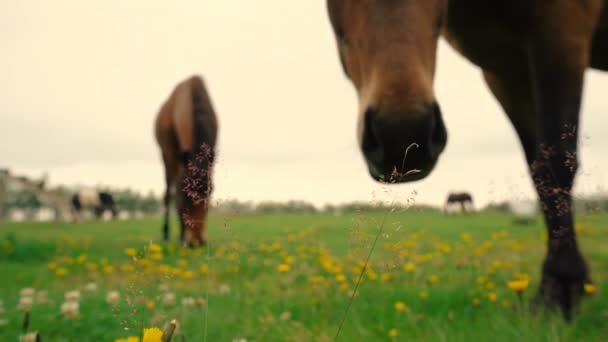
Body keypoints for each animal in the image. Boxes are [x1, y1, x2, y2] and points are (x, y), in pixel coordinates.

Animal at [154, 75, 218, 247]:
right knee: (168, 193)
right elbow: (175, 194)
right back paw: (167, 233)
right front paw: (182, 234)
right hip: (165, 157)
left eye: (210, 192)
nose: (196, 241)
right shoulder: (172, 154)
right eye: (186, 194)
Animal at [328, 1, 608, 320]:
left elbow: (557, 163)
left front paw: (560, 289)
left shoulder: (563, 33)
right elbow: (539, 171)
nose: (402, 136)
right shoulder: (504, 69)